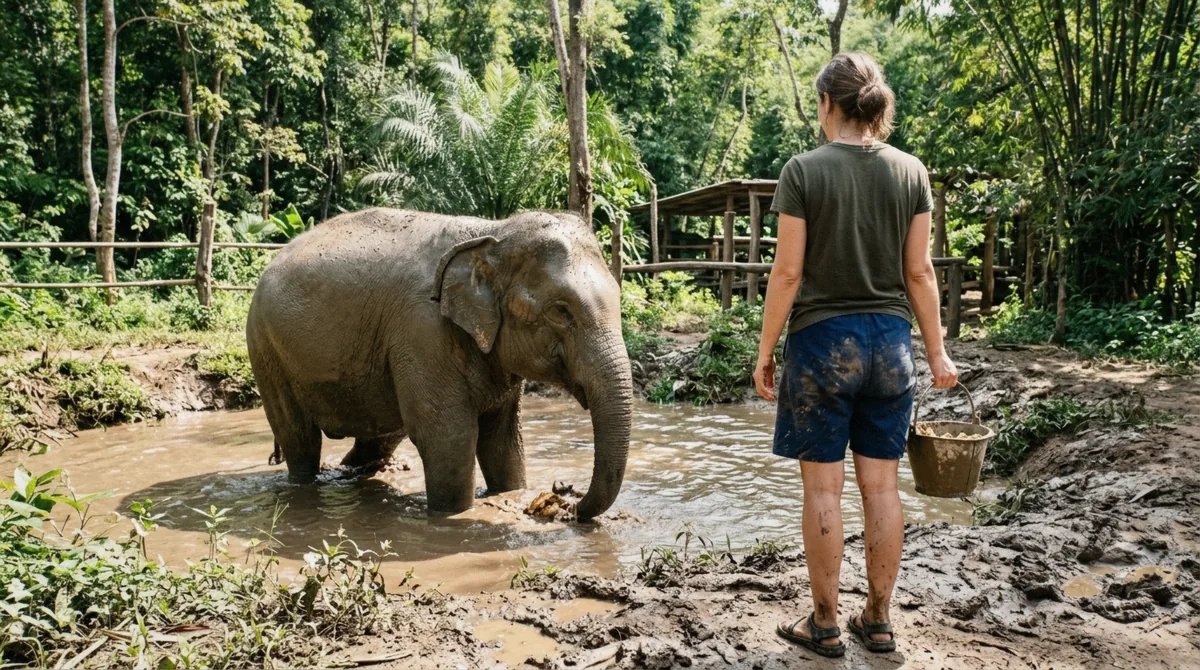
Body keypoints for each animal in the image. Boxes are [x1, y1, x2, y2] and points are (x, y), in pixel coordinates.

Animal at [245, 208, 632, 520]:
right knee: (298, 438)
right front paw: (455, 516)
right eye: (560, 311)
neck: (492, 232)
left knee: (381, 434)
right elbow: (450, 437)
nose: (568, 501)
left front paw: (511, 494)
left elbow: (503, 439)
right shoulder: (422, 331)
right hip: (266, 349)